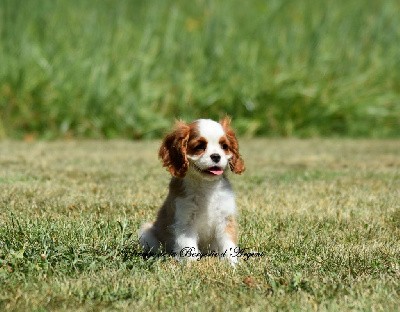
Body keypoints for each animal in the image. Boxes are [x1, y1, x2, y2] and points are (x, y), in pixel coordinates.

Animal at [139, 118, 244, 264]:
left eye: (224, 146)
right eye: (199, 146)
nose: (216, 156)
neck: (206, 185)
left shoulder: (225, 218)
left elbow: (228, 242)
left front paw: (232, 263)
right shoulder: (185, 220)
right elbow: (188, 245)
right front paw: (191, 264)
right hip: (146, 232)